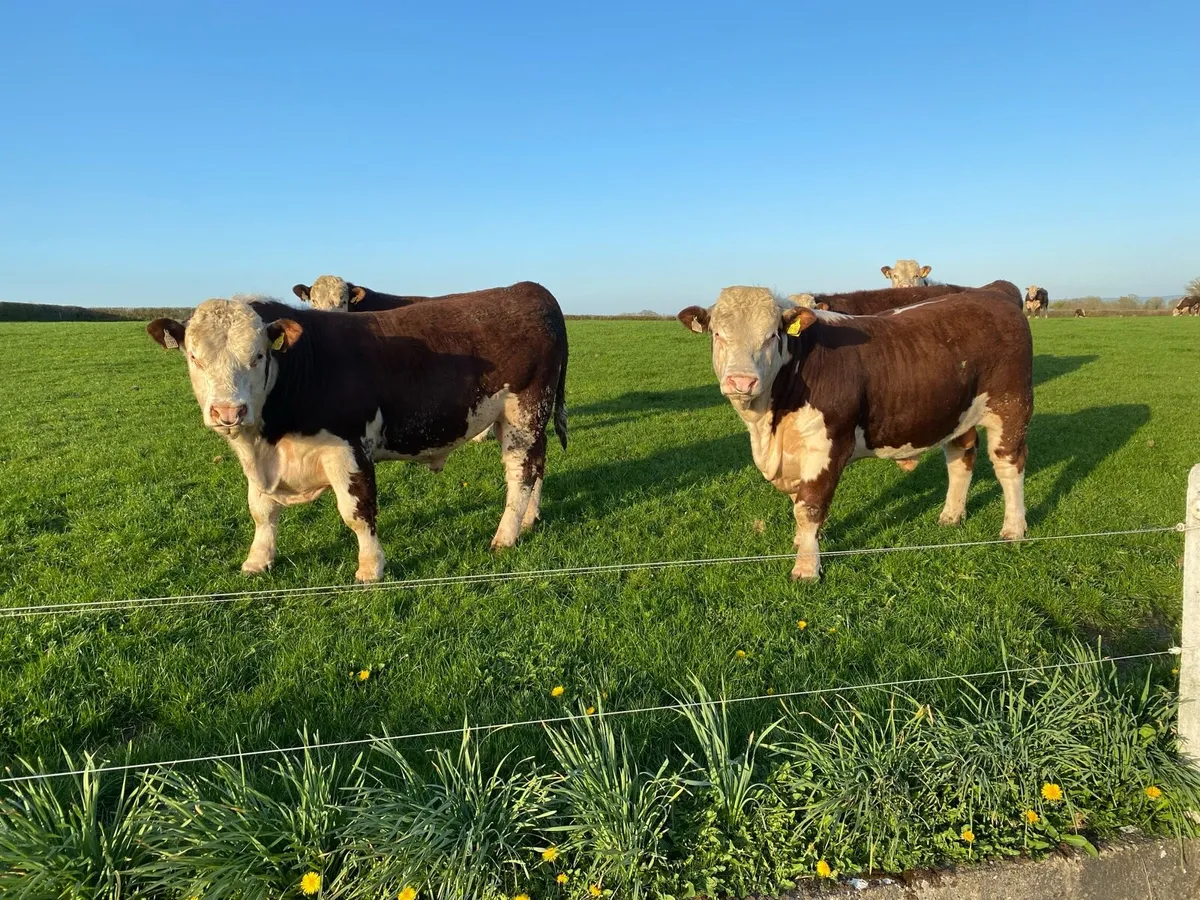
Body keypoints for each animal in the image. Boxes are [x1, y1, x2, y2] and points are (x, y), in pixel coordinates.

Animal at [146, 282, 568, 582]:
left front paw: (370, 568)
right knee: (538, 464)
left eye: (258, 356)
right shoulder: (258, 458)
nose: (229, 412)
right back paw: (530, 518)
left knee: (520, 472)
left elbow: (357, 512)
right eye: (194, 357)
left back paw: (506, 535)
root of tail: (528, 289)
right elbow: (261, 511)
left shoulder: (348, 449)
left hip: (524, 413)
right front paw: (257, 559)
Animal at [676, 281, 1032, 580]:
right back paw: (951, 515)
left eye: (772, 335)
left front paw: (807, 569)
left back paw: (1014, 529)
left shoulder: (826, 445)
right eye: (717, 334)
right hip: (956, 414)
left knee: (1008, 465)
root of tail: (990, 291)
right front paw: (801, 543)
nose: (741, 381)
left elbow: (809, 507)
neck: (768, 427)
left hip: (1011, 406)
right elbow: (797, 505)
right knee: (961, 457)